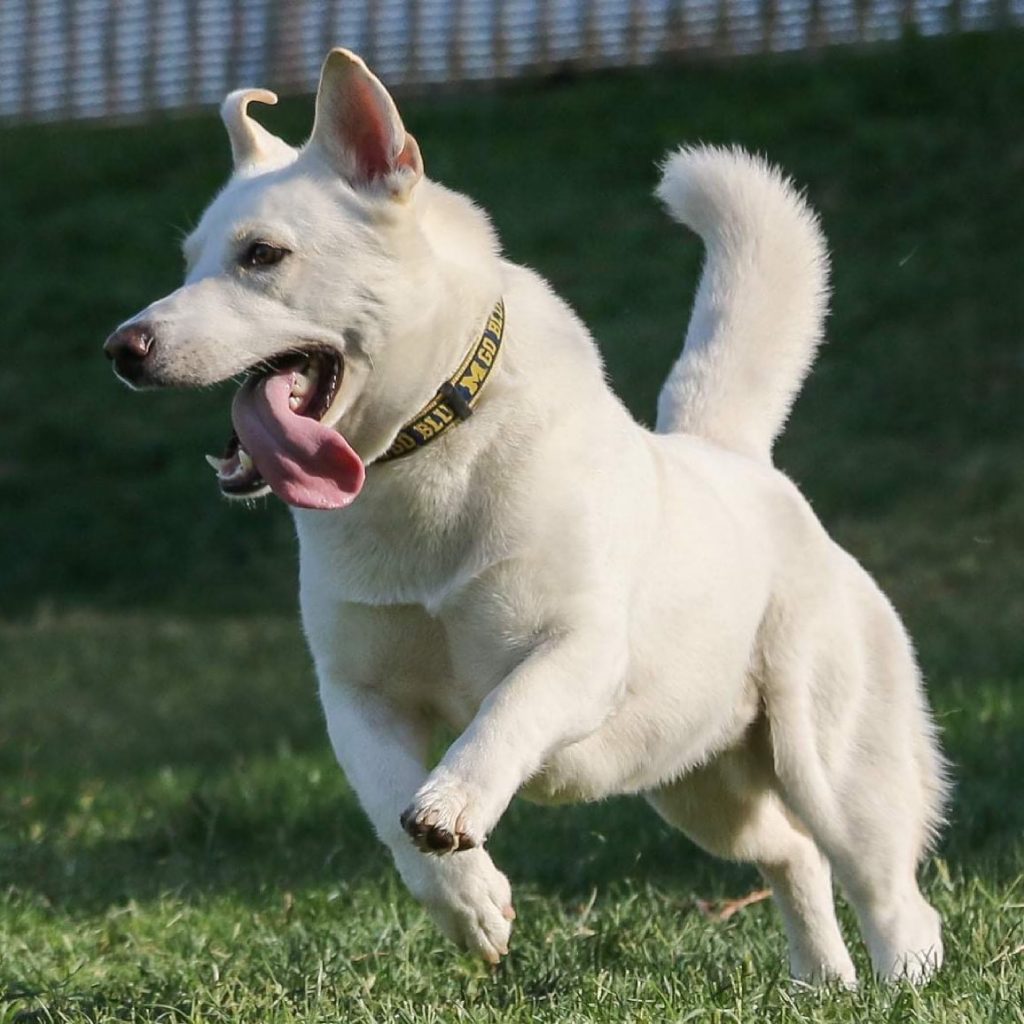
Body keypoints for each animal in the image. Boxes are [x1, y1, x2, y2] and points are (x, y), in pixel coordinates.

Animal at [108, 48, 946, 983]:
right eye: (189, 262)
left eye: (262, 254)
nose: (123, 348)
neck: (424, 463)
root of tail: (740, 460)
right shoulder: (356, 694)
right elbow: (389, 807)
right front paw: (471, 903)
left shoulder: (577, 651)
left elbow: (505, 714)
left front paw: (454, 802)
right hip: (699, 785)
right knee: (792, 856)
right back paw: (821, 984)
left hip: (834, 766)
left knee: (890, 892)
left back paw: (903, 984)